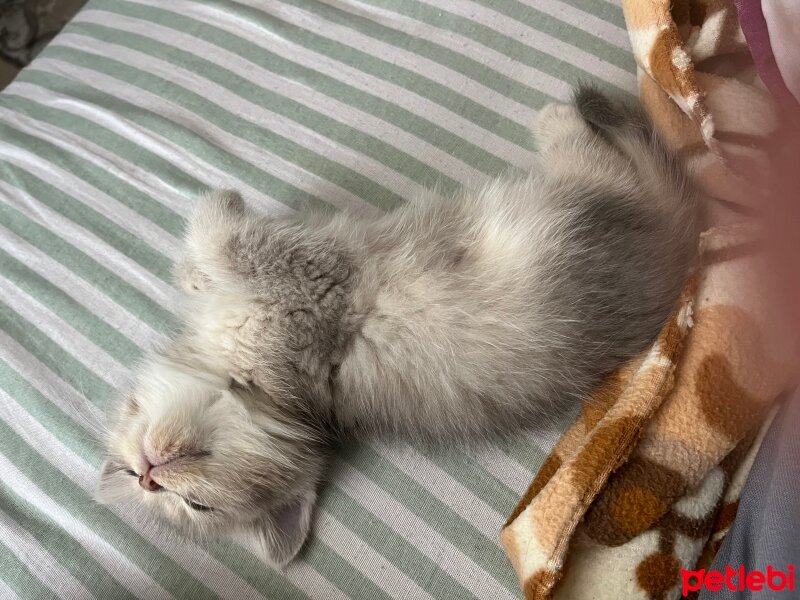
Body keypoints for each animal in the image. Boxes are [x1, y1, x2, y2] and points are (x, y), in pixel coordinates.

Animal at [98, 88, 700, 568]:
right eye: (192, 506)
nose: (148, 475)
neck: (268, 389)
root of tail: (675, 252)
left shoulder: (305, 272)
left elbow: (213, 245)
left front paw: (208, 240)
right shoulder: (311, 276)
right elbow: (222, 239)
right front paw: (213, 227)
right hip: (589, 208)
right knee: (607, 158)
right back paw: (560, 118)